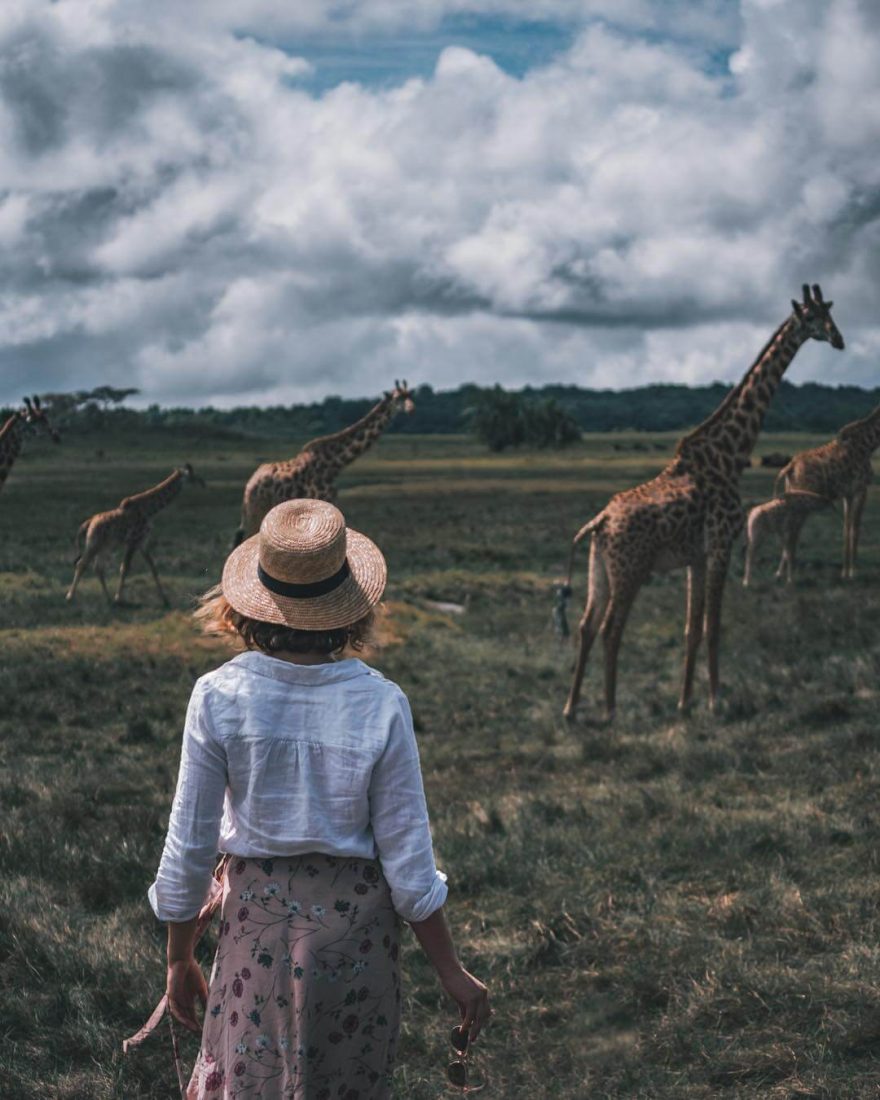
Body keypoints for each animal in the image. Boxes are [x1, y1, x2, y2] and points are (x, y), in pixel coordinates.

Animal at [66, 459, 205, 607]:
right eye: (192, 475)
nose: (202, 482)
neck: (150, 511)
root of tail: (88, 523)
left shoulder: (143, 542)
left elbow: (153, 568)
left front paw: (165, 600)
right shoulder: (133, 541)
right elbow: (125, 568)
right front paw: (118, 598)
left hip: (105, 547)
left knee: (98, 568)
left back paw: (108, 600)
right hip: (94, 544)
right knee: (82, 564)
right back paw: (70, 597)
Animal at [232, 382, 413, 545]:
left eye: (410, 394)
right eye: (397, 398)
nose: (411, 408)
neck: (335, 464)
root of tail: (249, 486)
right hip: (257, 512)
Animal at [563, 283, 844, 721]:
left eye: (832, 313)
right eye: (813, 318)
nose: (839, 339)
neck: (729, 455)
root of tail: (600, 522)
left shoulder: (696, 556)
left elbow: (691, 628)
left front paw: (685, 701)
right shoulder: (721, 546)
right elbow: (713, 627)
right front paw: (715, 701)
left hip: (600, 569)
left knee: (586, 625)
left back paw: (572, 708)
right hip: (630, 570)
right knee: (611, 628)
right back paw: (609, 710)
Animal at [770, 400, 880, 580]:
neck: (870, 444)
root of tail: (789, 467)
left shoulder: (848, 494)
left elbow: (846, 528)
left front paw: (845, 572)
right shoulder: (860, 489)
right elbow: (855, 529)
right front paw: (853, 572)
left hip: (791, 497)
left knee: (788, 530)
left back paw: (781, 572)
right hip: (802, 501)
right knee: (791, 531)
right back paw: (788, 573)